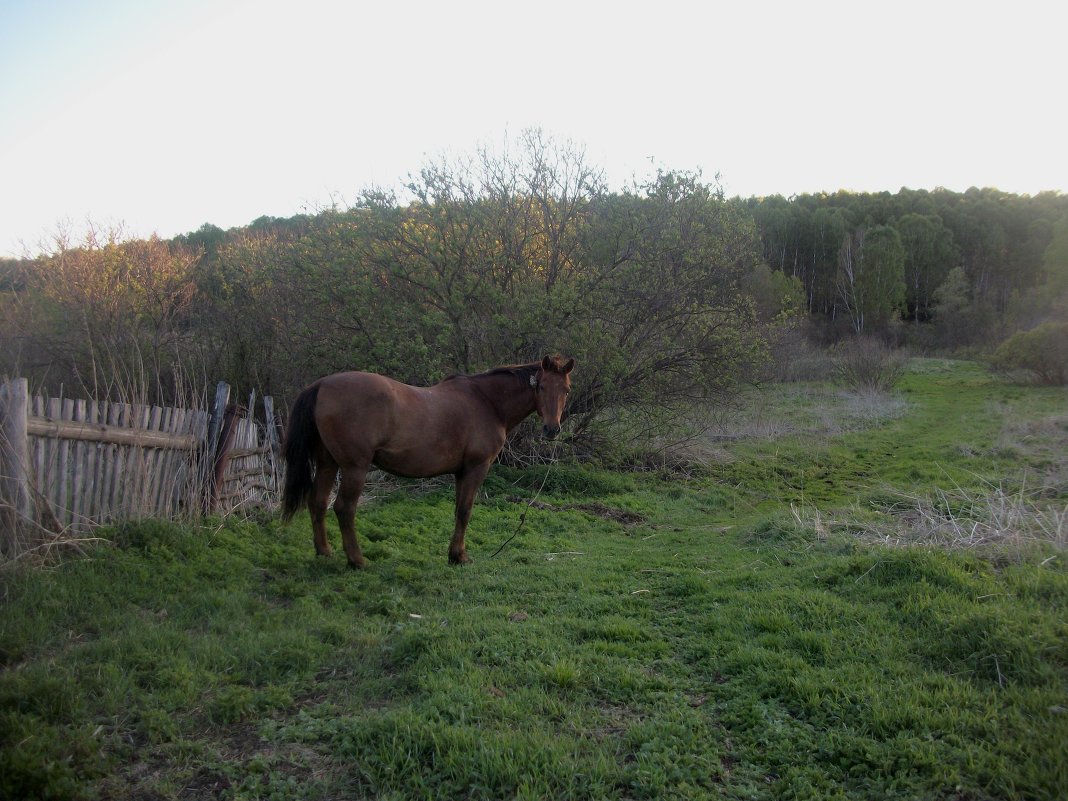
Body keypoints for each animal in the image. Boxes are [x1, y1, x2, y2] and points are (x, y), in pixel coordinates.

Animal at [279, 354, 572, 568]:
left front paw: (454, 554)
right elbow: (465, 511)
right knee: (343, 508)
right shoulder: (476, 468)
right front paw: (459, 556)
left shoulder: (460, 472)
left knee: (318, 503)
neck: (487, 402)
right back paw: (357, 560)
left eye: (567, 390)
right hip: (354, 468)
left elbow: (458, 510)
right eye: (542, 386)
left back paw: (324, 552)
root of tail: (321, 385)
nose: (552, 429)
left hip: (328, 463)